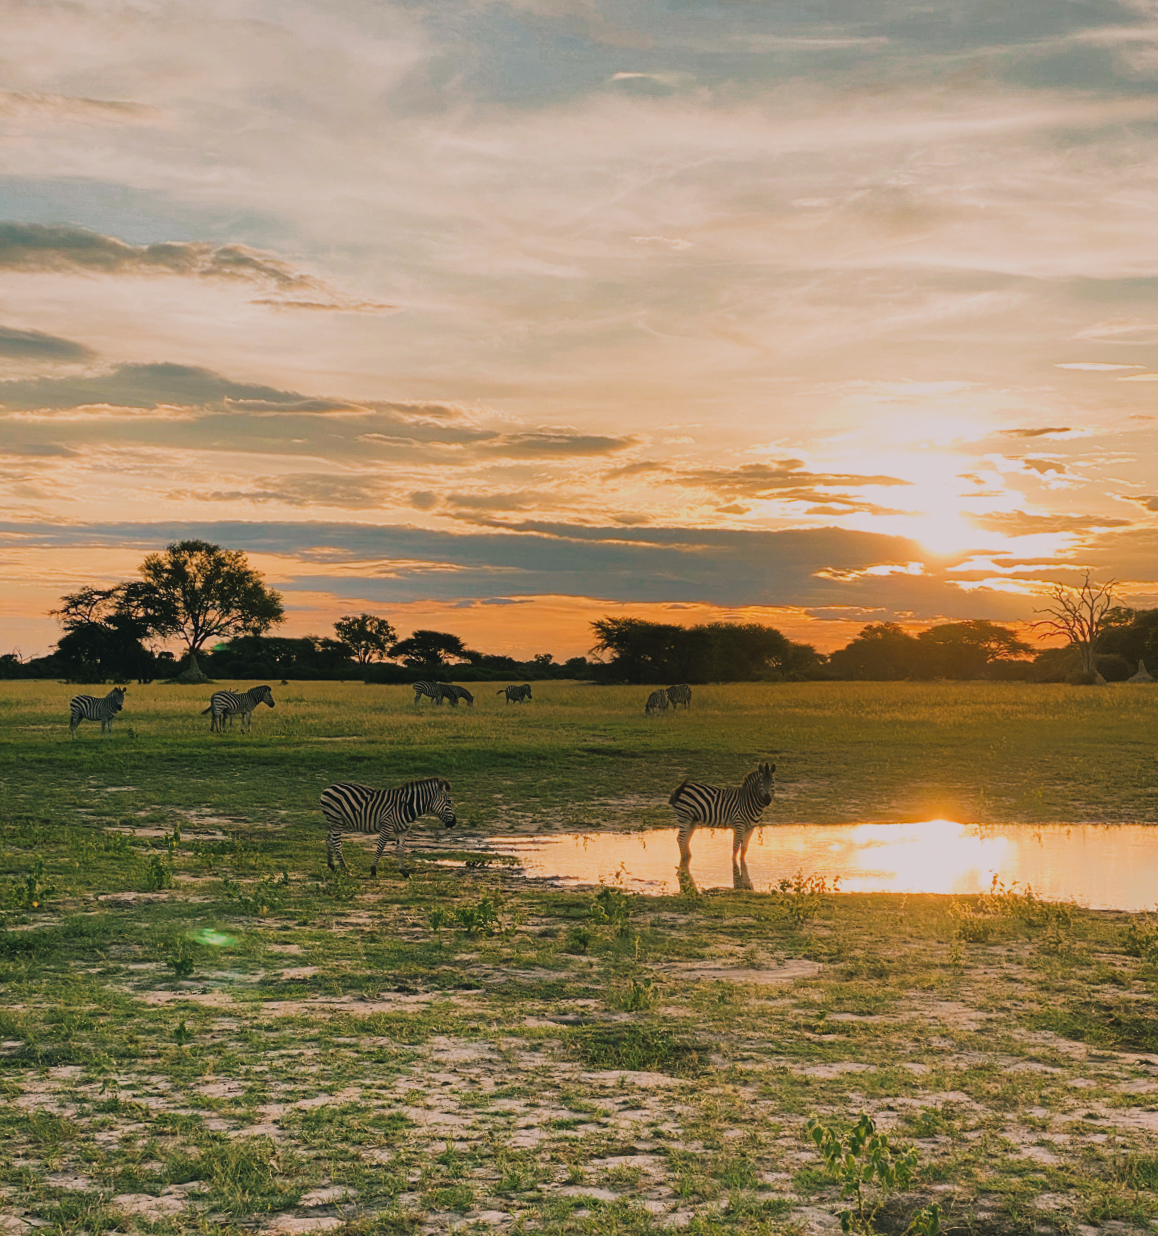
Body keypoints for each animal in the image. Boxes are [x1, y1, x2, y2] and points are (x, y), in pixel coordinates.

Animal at [323, 771, 459, 880]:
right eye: (449, 801)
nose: (453, 823)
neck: (406, 806)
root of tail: (329, 787)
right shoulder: (387, 826)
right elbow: (380, 848)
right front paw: (373, 870)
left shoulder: (402, 830)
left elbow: (401, 849)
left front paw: (404, 872)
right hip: (337, 820)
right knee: (336, 842)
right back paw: (346, 870)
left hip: (338, 821)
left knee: (329, 838)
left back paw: (331, 866)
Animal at [667, 761, 776, 889]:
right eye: (761, 782)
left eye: (772, 782)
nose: (767, 800)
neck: (749, 801)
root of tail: (682, 787)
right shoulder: (739, 825)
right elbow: (735, 847)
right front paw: (734, 863)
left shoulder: (750, 827)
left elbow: (744, 848)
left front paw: (742, 865)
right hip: (685, 816)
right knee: (680, 838)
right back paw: (684, 861)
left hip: (692, 819)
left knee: (685, 839)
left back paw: (688, 860)